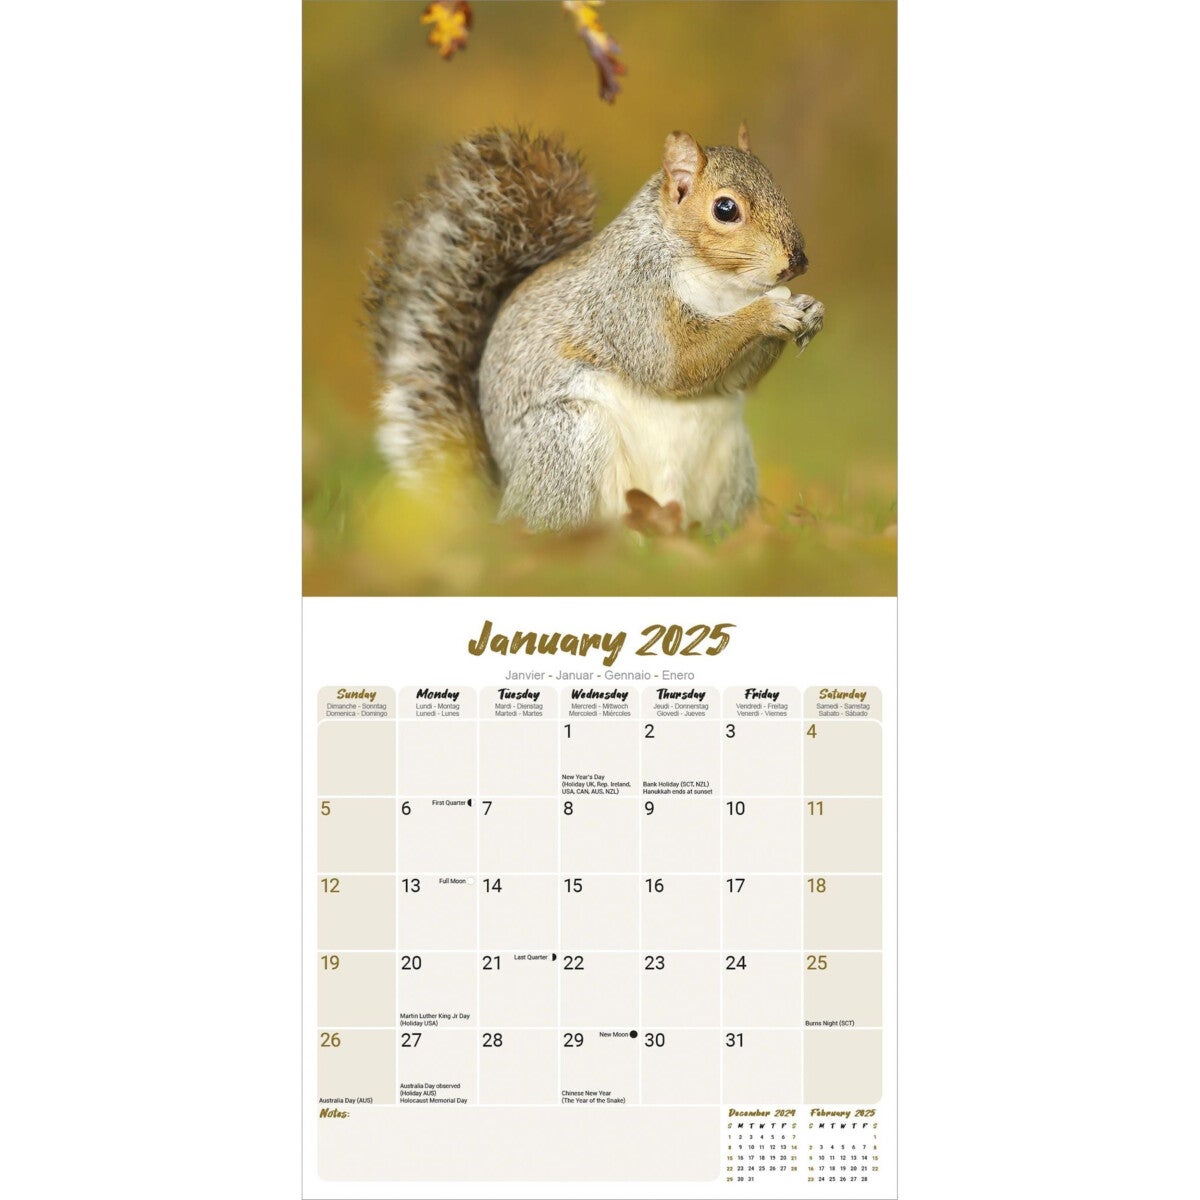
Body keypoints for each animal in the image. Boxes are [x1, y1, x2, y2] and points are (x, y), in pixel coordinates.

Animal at [365, 125, 824, 532]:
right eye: (725, 209)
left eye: (776, 186)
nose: (797, 261)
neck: (723, 286)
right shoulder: (627, 297)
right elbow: (673, 362)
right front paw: (769, 312)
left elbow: (733, 381)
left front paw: (810, 309)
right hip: (570, 441)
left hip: (733, 461)